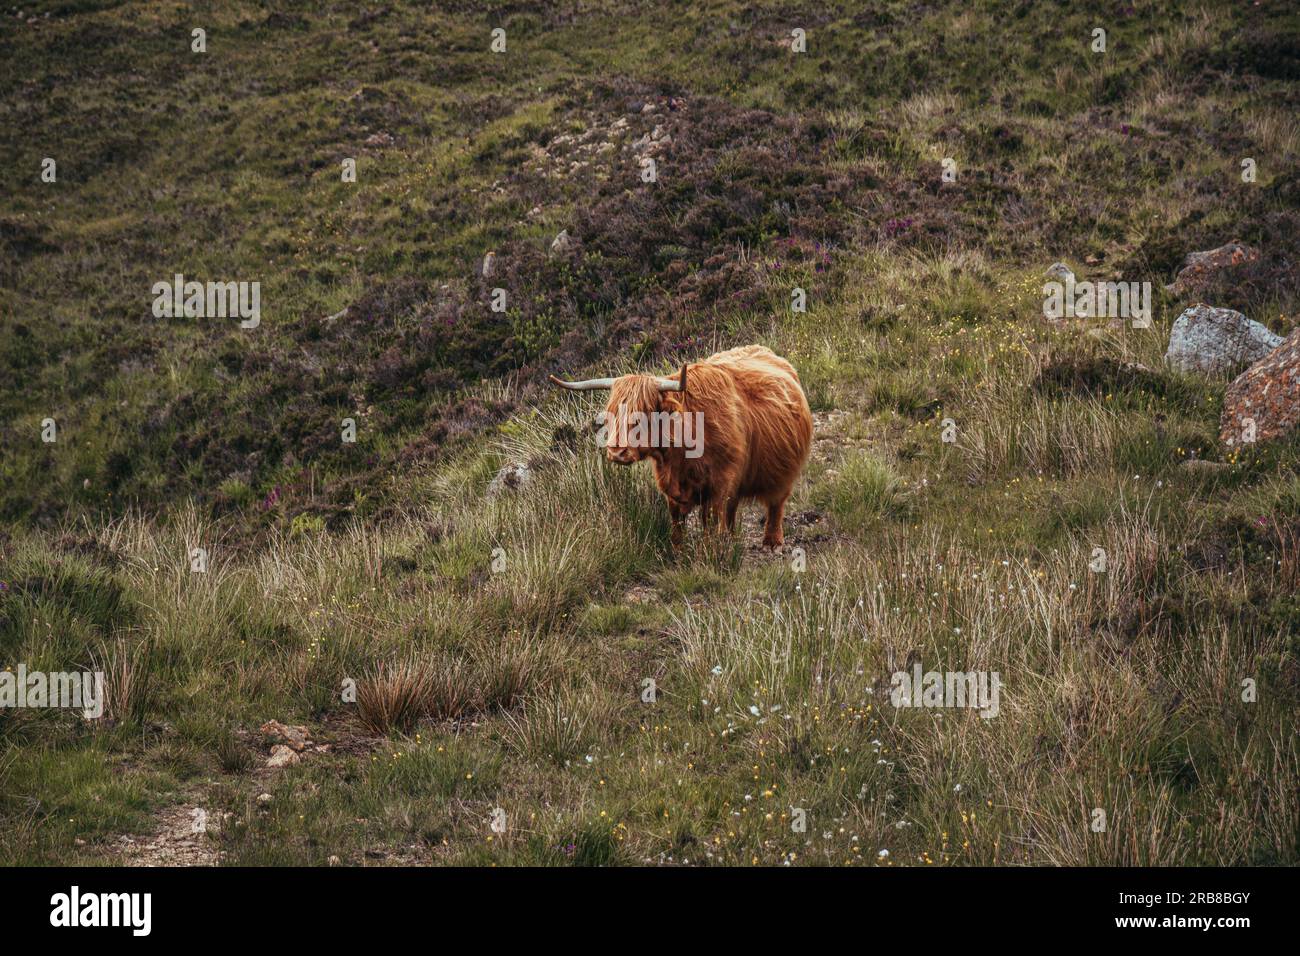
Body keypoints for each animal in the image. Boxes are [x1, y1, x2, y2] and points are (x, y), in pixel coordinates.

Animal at [550, 345, 813, 549]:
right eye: (611, 413)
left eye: (643, 414)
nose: (616, 452)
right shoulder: (672, 488)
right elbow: (678, 521)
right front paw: (679, 550)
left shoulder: (721, 482)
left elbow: (713, 520)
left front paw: (714, 550)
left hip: (782, 472)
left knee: (776, 504)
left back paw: (772, 542)